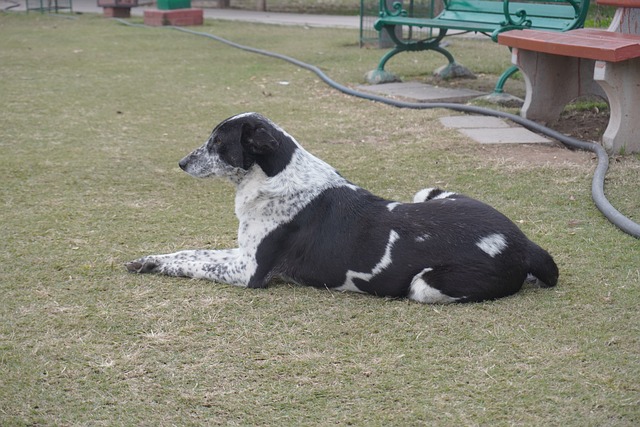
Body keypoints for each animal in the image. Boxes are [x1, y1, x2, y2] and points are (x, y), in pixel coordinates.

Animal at [124, 112, 556, 302]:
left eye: (217, 143)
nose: (181, 163)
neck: (276, 178)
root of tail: (526, 244)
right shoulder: (242, 253)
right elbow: (189, 252)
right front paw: (148, 260)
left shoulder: (250, 271)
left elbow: (195, 264)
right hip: (430, 191)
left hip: (425, 286)